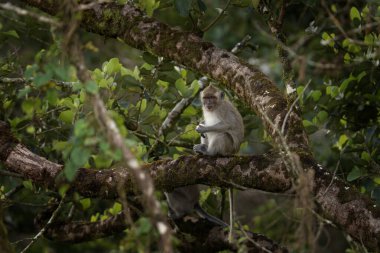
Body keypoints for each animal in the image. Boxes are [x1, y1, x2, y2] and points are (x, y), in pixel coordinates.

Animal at [166, 85, 243, 233]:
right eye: (206, 98)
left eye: (212, 97)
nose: (207, 104)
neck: (215, 107)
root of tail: (234, 153)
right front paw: (202, 123)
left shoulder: (223, 109)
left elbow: (226, 125)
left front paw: (203, 127)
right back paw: (202, 149)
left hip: (227, 148)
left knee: (221, 134)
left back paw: (210, 152)